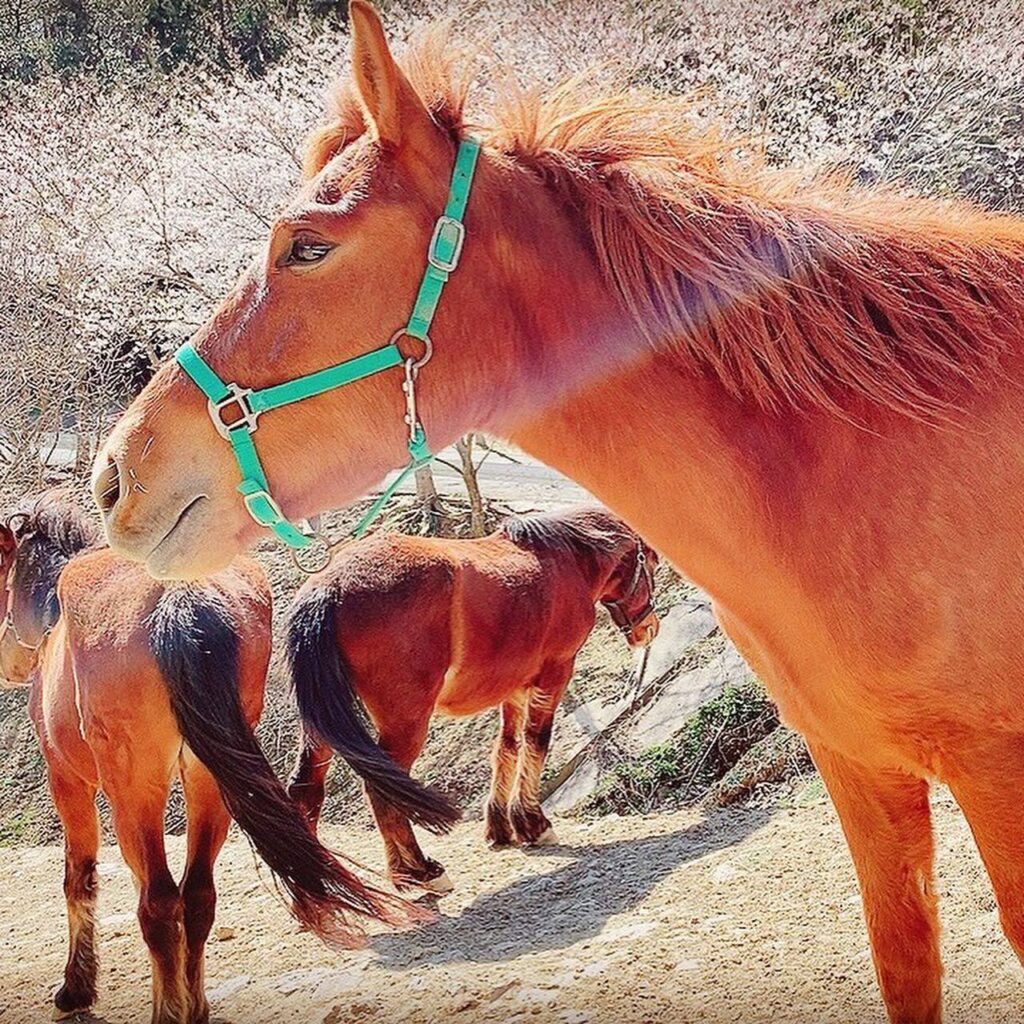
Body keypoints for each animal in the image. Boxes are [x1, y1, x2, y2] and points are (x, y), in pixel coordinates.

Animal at [0, 491, 428, 1023]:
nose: (9, 664)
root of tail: (178, 596)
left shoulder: (68, 780)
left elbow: (79, 878)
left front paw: (76, 989)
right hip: (212, 782)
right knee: (198, 895)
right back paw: (194, 1004)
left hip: (136, 789)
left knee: (159, 902)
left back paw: (168, 1008)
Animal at [286, 505, 659, 892]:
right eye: (651, 561)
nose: (649, 629)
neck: (565, 558)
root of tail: (329, 587)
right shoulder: (555, 673)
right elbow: (536, 742)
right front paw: (534, 823)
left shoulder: (515, 687)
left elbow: (507, 747)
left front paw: (503, 827)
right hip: (405, 723)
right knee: (381, 788)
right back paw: (421, 870)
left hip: (321, 724)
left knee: (306, 789)